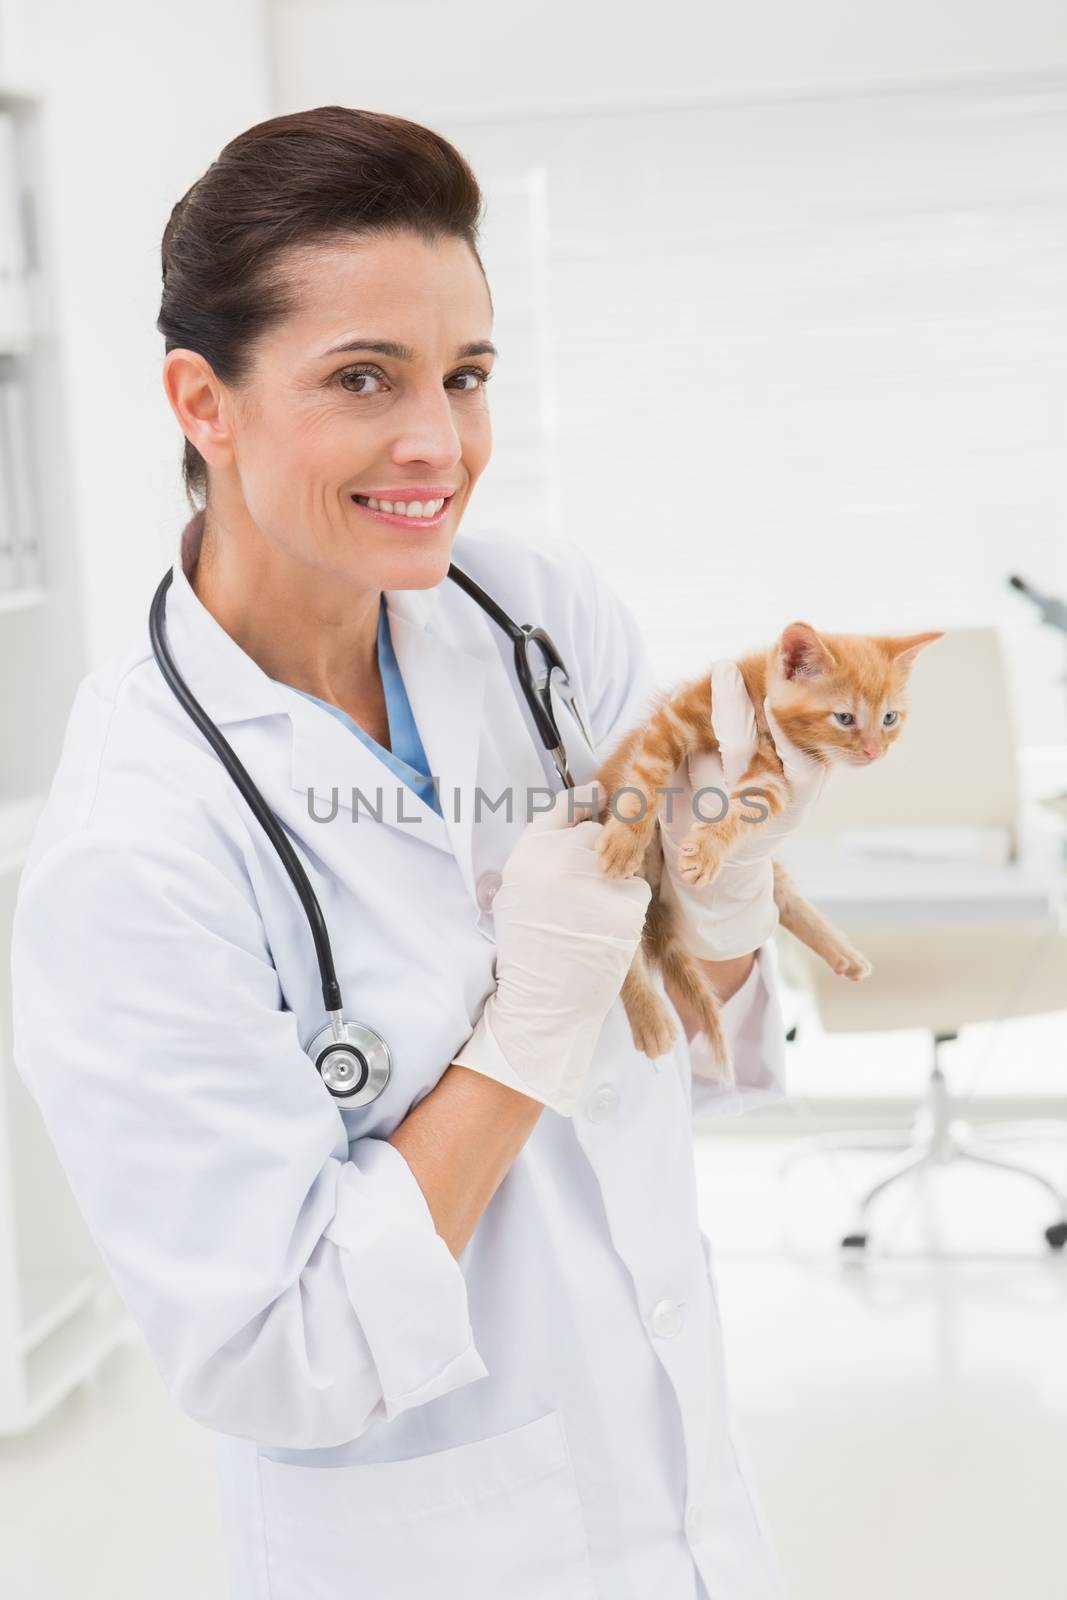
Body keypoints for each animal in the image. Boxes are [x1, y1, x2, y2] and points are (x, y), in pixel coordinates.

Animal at [591, 617, 940, 1081]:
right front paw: (625, 839)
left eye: (889, 718)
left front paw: (709, 850)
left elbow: (741, 814)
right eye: (845, 717)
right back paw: (651, 1019)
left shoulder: (775, 781)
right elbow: (646, 778)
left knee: (783, 896)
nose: (874, 751)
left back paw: (843, 954)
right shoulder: (675, 718)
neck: (760, 706)